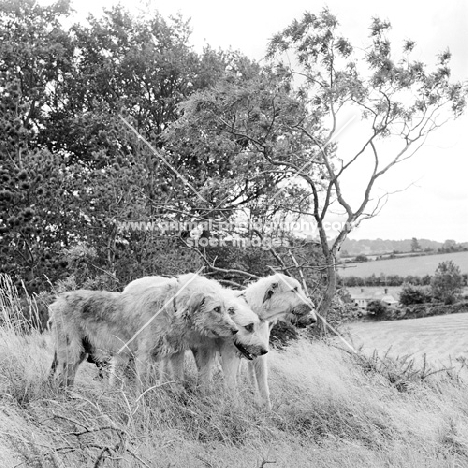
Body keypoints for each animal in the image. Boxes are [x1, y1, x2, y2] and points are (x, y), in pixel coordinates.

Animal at [49, 274, 238, 388]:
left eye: (227, 309)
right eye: (216, 309)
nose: (236, 330)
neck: (170, 309)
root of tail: (56, 302)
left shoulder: (175, 355)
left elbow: (178, 381)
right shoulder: (144, 357)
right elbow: (143, 386)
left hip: (78, 356)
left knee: (66, 382)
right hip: (71, 355)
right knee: (60, 382)